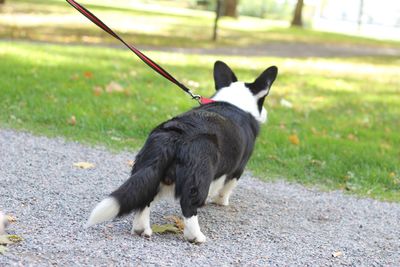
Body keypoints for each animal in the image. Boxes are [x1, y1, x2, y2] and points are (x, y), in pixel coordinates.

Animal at [85, 61, 276, 245]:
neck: (234, 101)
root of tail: (175, 134)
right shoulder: (238, 168)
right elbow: (226, 187)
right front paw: (221, 202)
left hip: (149, 168)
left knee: (145, 196)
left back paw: (141, 229)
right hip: (198, 177)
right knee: (189, 206)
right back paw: (196, 237)